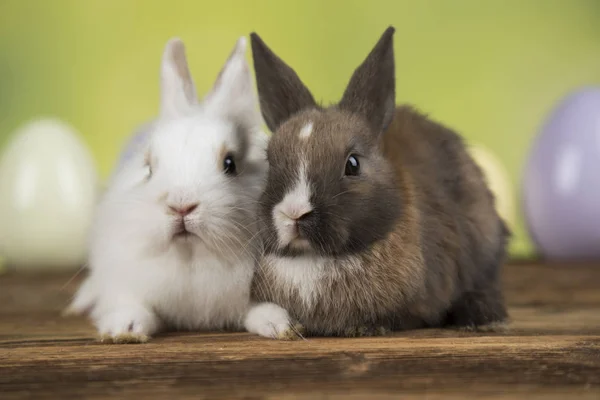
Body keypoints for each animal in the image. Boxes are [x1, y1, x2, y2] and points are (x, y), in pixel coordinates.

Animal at [67, 36, 296, 340]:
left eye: (230, 163)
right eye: (149, 167)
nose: (181, 205)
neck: (191, 259)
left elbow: (257, 309)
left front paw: (281, 325)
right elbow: (132, 305)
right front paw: (125, 329)